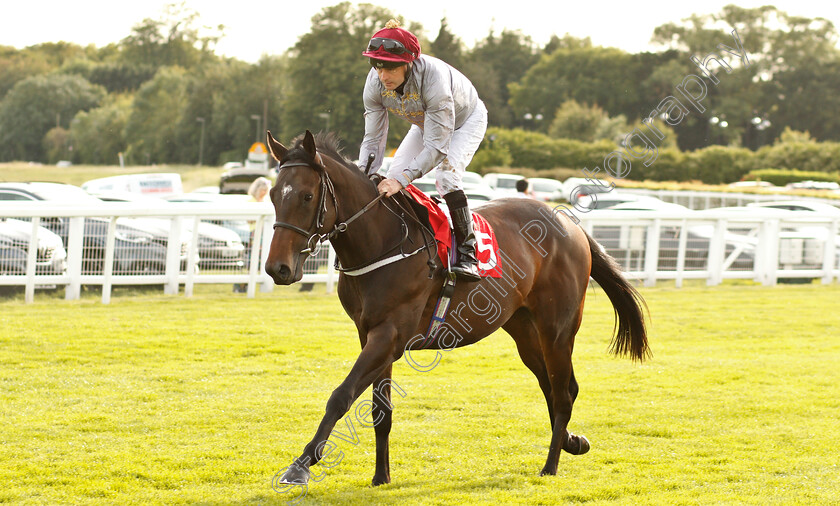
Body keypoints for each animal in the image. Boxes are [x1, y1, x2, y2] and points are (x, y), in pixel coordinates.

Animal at [266, 129, 648, 486]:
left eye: (307, 196)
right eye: (273, 195)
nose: (277, 268)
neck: (384, 242)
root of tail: (571, 225)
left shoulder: (389, 335)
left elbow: (341, 396)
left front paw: (300, 466)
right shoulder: (371, 334)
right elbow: (380, 411)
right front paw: (381, 476)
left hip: (557, 328)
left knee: (563, 392)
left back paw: (550, 465)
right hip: (523, 329)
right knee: (556, 388)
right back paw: (571, 440)